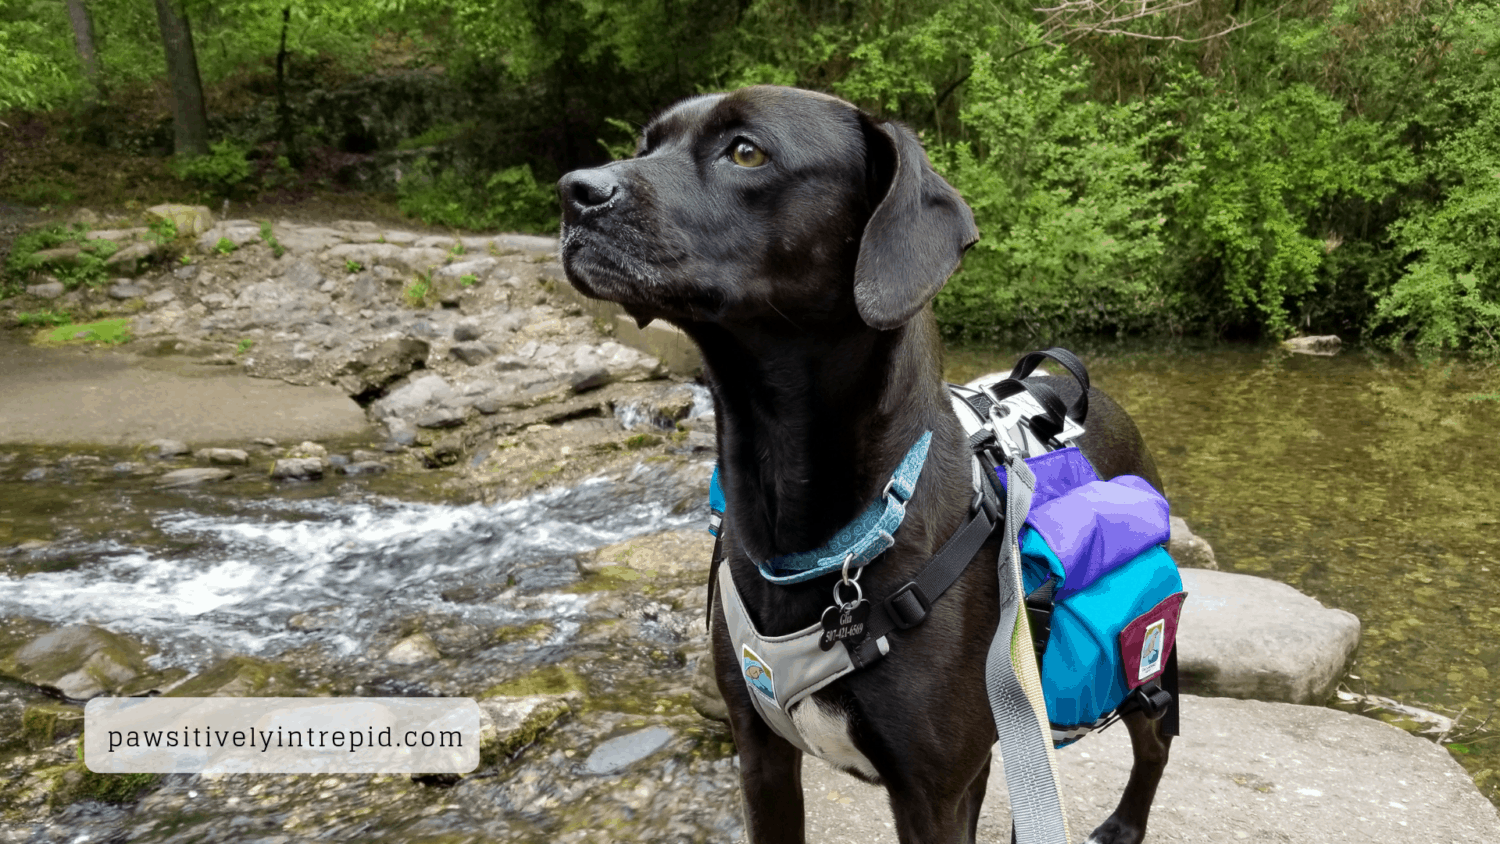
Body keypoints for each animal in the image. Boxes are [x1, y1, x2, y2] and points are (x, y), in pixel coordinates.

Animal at [561, 85, 1170, 844]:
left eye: (745, 151)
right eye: (646, 145)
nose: (573, 192)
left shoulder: (932, 795)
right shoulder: (761, 758)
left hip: (1140, 670)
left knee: (1153, 742)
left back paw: (1125, 822)